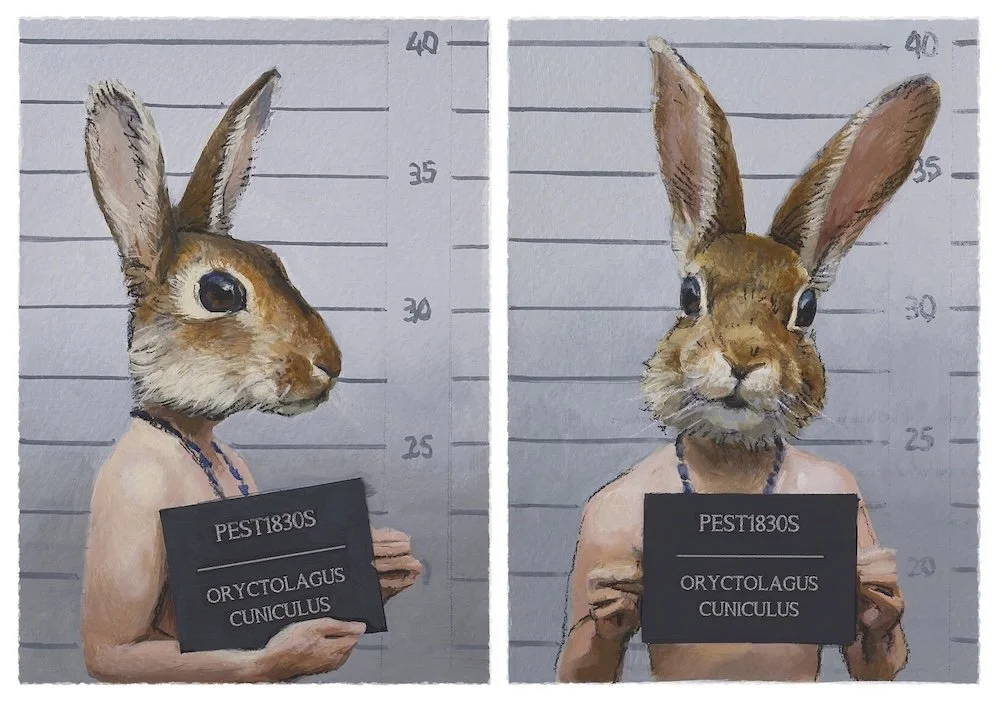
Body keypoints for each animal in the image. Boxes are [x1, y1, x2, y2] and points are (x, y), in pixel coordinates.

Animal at [557, 37, 938, 683]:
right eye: (690, 294)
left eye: (807, 308)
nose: (741, 359)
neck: (729, 466)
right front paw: (616, 593)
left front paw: (876, 590)